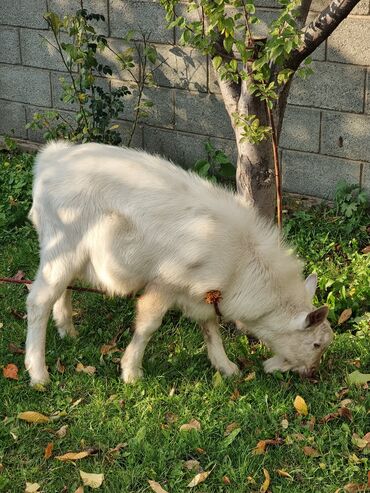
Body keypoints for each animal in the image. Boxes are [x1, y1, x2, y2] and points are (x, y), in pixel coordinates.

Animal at [25, 140, 332, 386]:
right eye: (316, 343)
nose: (312, 373)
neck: (242, 261)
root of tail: (50, 159)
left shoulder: (204, 291)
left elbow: (210, 327)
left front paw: (226, 366)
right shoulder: (166, 282)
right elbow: (149, 324)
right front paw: (131, 372)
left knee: (63, 289)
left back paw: (67, 330)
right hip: (61, 244)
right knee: (39, 300)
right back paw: (38, 373)